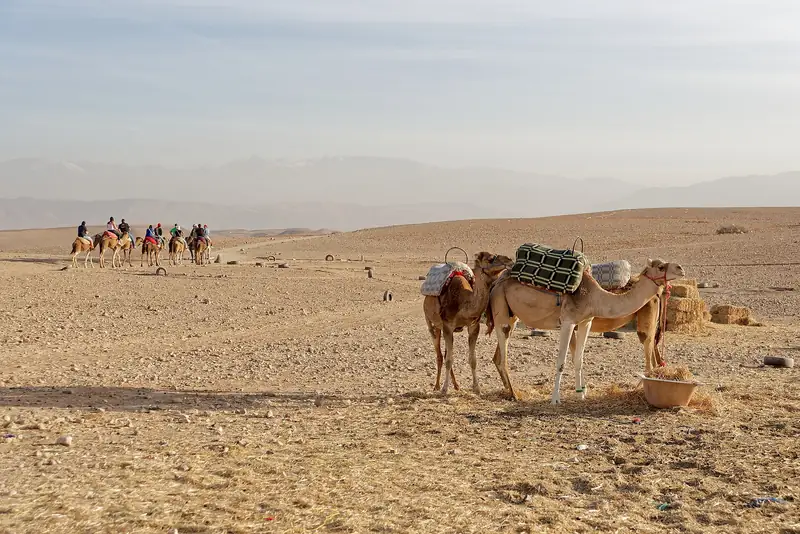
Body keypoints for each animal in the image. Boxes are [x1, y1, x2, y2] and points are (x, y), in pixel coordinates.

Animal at [423, 252, 513, 395]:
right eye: (490, 259)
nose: (509, 260)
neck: (463, 301)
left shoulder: (473, 326)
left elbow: (472, 360)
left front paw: (477, 388)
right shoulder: (448, 325)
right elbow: (449, 360)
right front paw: (444, 389)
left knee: (446, 353)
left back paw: (456, 385)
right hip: (432, 324)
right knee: (440, 355)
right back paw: (437, 386)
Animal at [487, 258, 684, 404]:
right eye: (660, 266)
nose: (680, 268)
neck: (595, 297)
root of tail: (497, 281)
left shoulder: (585, 321)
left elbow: (579, 359)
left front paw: (581, 394)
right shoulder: (567, 322)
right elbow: (561, 362)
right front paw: (555, 399)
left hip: (512, 316)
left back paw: (509, 391)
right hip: (500, 306)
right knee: (503, 356)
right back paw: (514, 394)